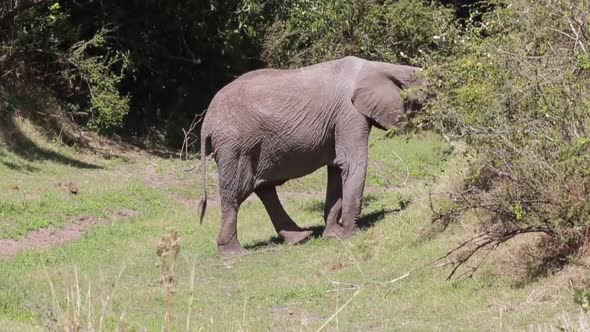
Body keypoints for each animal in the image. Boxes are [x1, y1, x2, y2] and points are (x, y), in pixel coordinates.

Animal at [201, 55, 428, 255]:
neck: (381, 67)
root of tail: (206, 122)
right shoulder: (349, 113)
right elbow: (353, 163)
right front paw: (353, 235)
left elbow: (337, 169)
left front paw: (334, 235)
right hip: (235, 146)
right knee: (236, 191)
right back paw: (235, 253)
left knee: (263, 188)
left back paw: (300, 238)